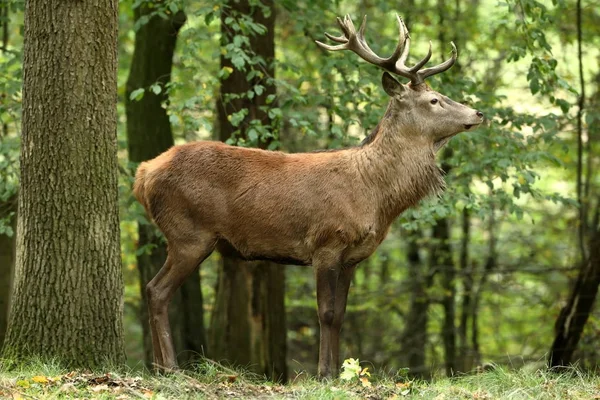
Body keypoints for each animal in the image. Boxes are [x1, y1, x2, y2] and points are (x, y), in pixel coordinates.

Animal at [132, 13, 482, 378]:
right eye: (434, 100)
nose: (478, 113)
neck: (376, 197)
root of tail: (143, 174)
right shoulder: (326, 242)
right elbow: (325, 313)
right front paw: (323, 373)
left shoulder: (353, 256)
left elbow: (340, 315)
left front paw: (338, 373)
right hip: (189, 232)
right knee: (156, 291)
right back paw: (170, 366)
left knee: (153, 290)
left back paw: (157, 366)